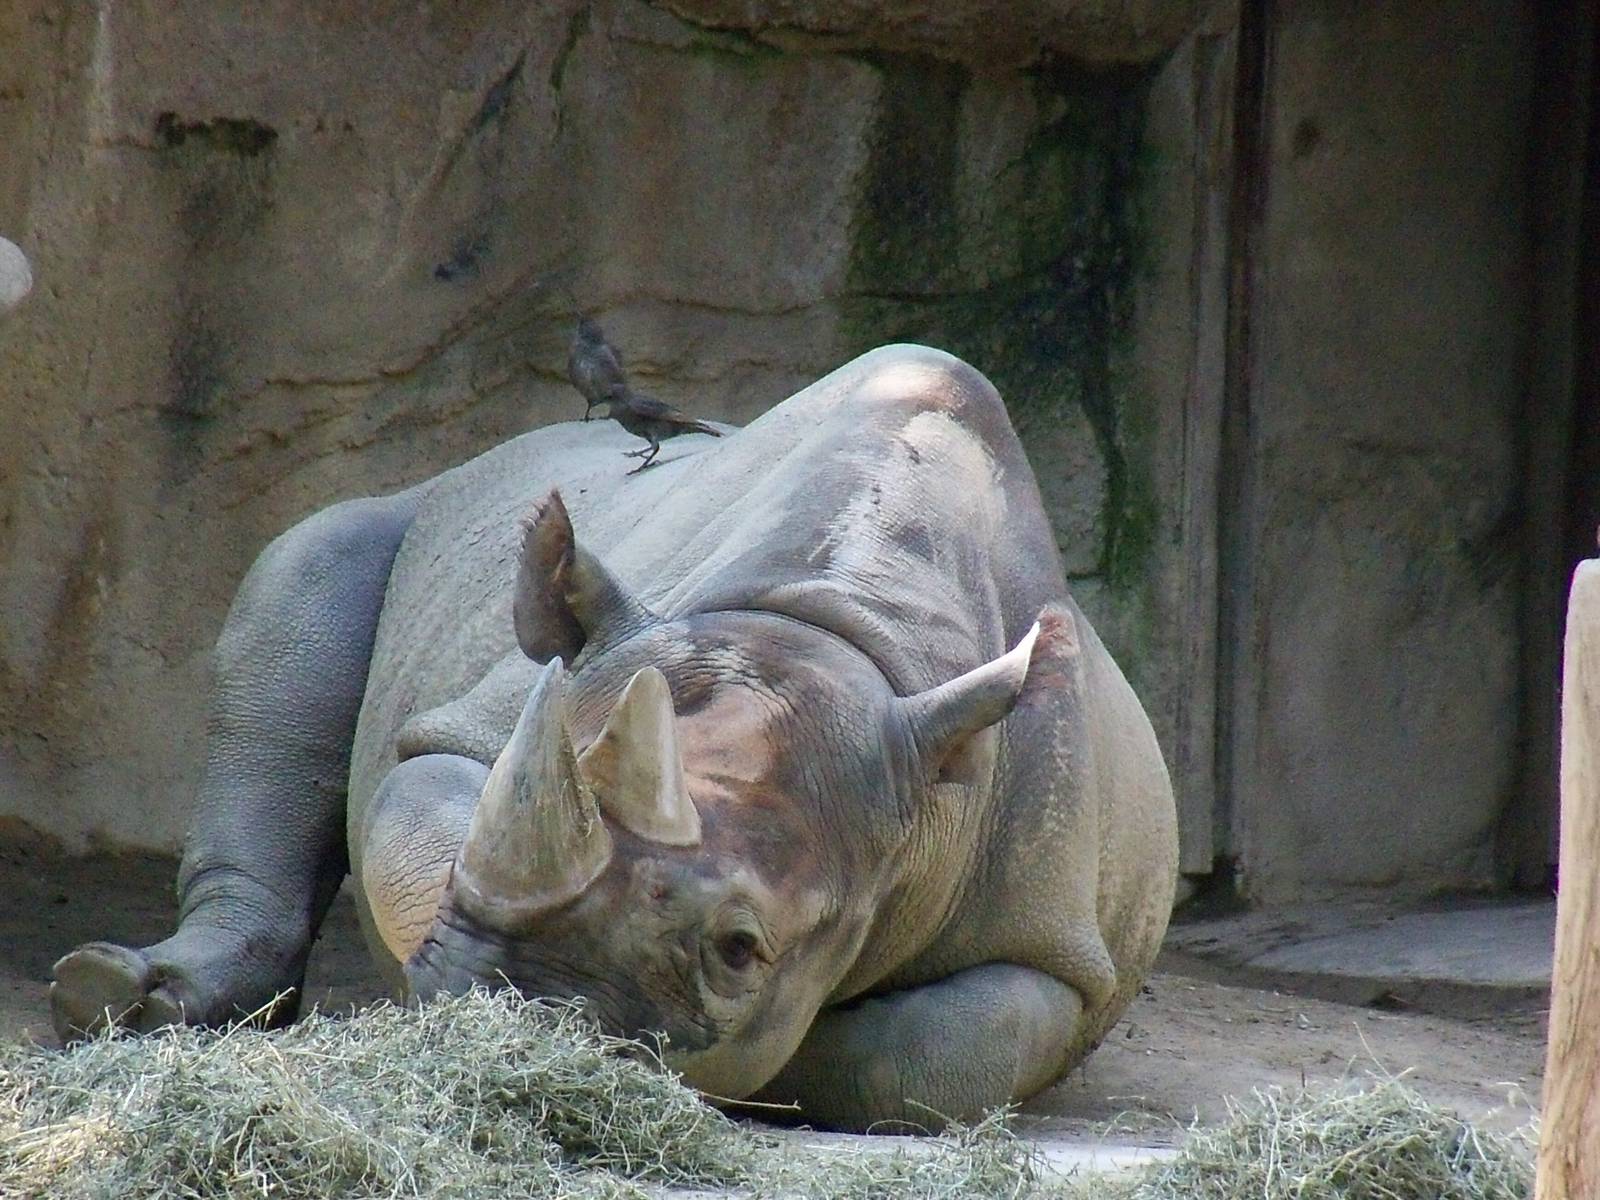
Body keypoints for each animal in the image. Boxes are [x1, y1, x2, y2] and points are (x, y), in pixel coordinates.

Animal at [51, 344, 1177, 1130]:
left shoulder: (1052, 936)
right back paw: (117, 997)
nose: (513, 1017)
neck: (835, 625)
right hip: (424, 514)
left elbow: (934, 1056)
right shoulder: (475, 736)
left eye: (742, 951)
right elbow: (423, 813)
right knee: (306, 579)